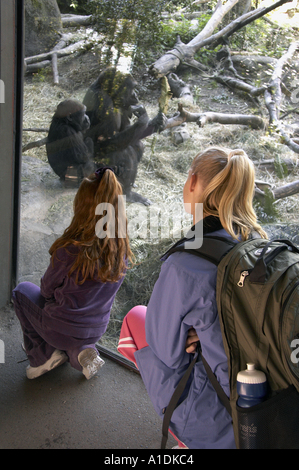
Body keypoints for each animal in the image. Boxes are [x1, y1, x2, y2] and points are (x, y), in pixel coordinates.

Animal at [83, 67, 168, 205]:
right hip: (94, 170)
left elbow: (127, 129)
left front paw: (157, 121)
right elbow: (106, 142)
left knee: (136, 144)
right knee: (124, 151)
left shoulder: (123, 106)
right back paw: (128, 194)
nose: (135, 95)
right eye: (132, 88)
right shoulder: (104, 102)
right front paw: (143, 119)